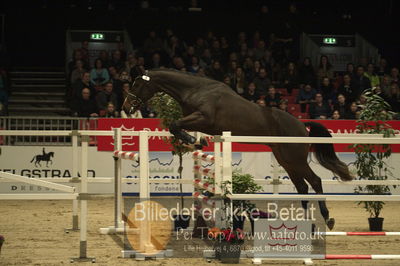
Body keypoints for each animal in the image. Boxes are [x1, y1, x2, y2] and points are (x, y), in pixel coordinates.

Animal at [124, 68, 354, 229]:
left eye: (136, 84)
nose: (126, 107)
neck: (197, 90)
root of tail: (302, 125)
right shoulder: (197, 121)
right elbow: (176, 127)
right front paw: (197, 142)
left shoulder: (202, 118)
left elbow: (174, 125)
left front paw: (195, 141)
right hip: (285, 159)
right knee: (302, 187)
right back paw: (307, 223)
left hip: (294, 158)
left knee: (314, 181)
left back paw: (327, 218)